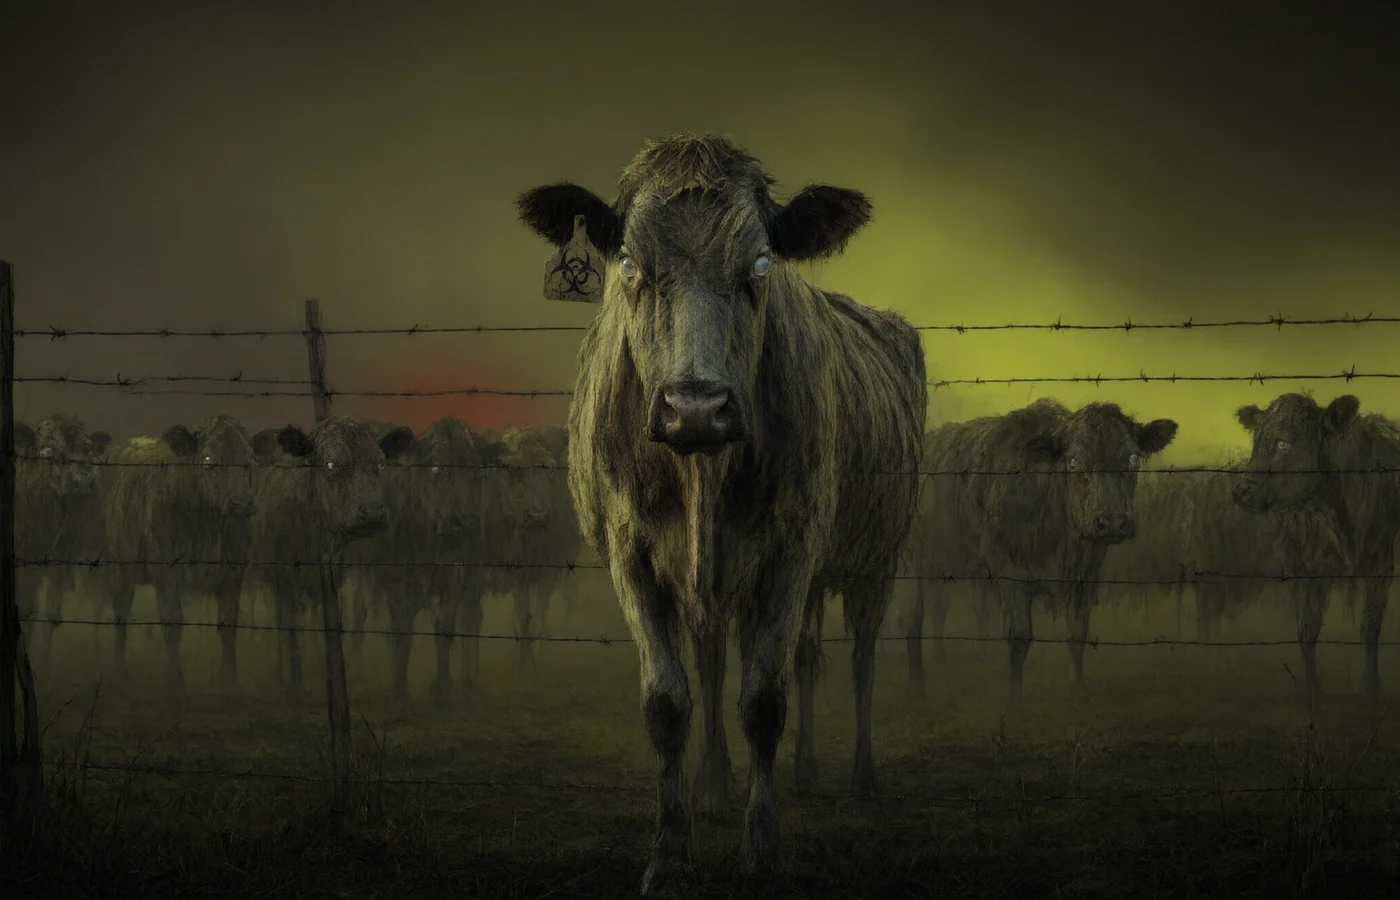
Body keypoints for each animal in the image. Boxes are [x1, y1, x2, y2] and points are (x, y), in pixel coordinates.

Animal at [98, 415, 257, 697]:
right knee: (120, 614)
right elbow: (173, 620)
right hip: (120, 566)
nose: (241, 503)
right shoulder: (167, 573)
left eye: (250, 457)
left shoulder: (233, 573)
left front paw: (230, 681)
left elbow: (228, 622)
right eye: (208, 459)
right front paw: (175, 681)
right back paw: (121, 670)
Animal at [247, 416, 415, 697]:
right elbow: (289, 630)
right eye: (331, 464)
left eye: (381, 464)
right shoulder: (283, 583)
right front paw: (295, 683)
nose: (373, 512)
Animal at [516, 132, 926, 892]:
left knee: (858, 658)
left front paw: (761, 851)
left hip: (874, 558)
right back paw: (724, 783)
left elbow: (764, 700)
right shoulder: (632, 554)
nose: (696, 407)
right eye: (628, 263)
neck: (701, 472)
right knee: (740, 660)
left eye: (760, 265)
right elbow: (669, 700)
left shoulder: (794, 548)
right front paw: (670, 851)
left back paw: (857, 774)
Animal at [919, 399, 1178, 701]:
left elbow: (1077, 633)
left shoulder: (1084, 577)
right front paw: (1015, 695)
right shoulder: (1011, 573)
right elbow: (1019, 636)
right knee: (936, 607)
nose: (1113, 521)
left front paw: (1078, 685)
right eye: (1073, 460)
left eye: (1133, 458)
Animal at [1231, 392, 1398, 699]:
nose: (1240, 491)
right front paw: (1310, 692)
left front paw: (1372, 689)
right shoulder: (1305, 567)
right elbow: (1307, 630)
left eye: (1283, 442)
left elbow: (1370, 627)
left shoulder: (1381, 563)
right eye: (1256, 440)